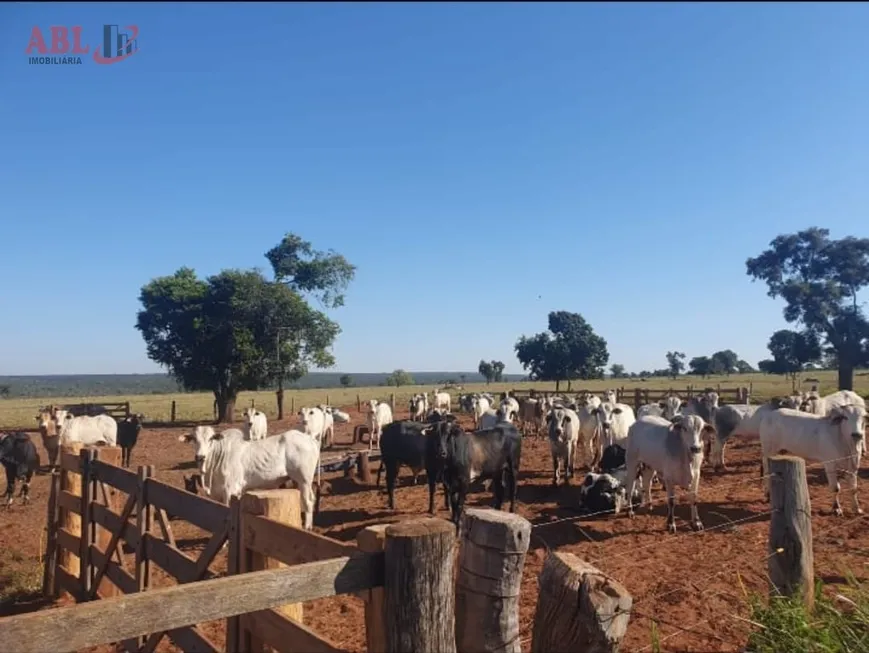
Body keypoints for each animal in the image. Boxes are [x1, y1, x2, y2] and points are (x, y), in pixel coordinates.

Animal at [178, 428, 320, 528]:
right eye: (194, 439)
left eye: (211, 439)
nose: (200, 456)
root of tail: (310, 440)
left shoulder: (230, 491)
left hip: (304, 480)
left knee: (308, 502)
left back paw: (307, 528)